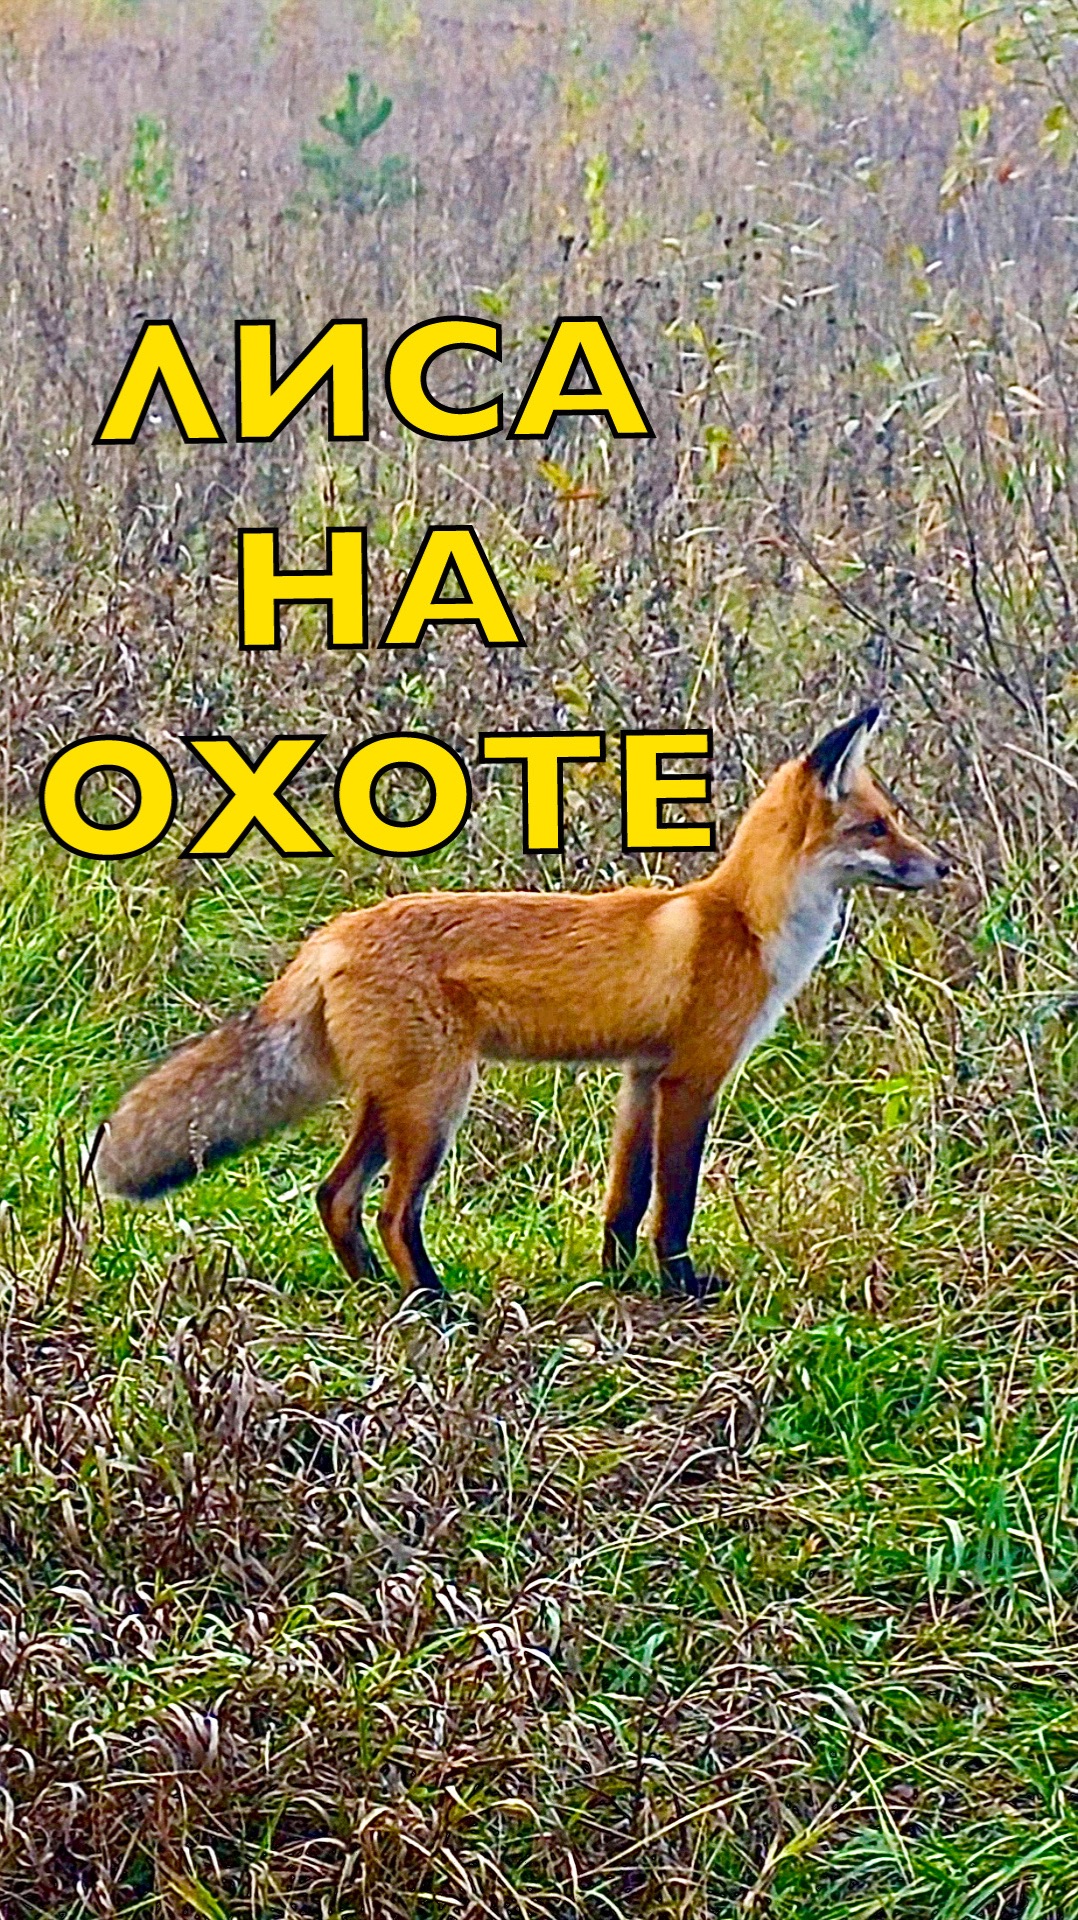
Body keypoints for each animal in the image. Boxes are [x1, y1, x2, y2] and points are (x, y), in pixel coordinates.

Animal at [92, 707, 948, 1302]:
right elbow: (674, 1202)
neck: (741, 922)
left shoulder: (641, 1076)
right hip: (436, 1103)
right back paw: (435, 1301)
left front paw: (615, 1280)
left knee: (335, 1196)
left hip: (392, 1100)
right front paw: (680, 1284)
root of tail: (331, 935)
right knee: (392, 1211)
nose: (941, 866)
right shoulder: (692, 1078)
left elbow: (625, 1198)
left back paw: (374, 1292)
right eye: (876, 828)